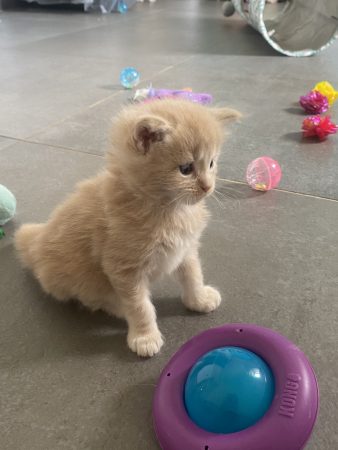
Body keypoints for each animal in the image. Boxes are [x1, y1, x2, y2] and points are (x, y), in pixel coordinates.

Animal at [13, 99, 240, 358]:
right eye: (185, 169)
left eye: (212, 163)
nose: (208, 186)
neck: (168, 210)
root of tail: (38, 241)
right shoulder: (124, 269)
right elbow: (139, 306)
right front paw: (144, 337)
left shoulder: (186, 249)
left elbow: (193, 275)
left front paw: (198, 299)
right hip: (77, 279)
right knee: (93, 298)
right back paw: (119, 307)